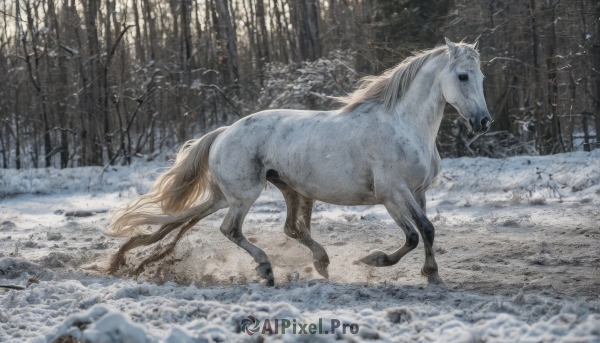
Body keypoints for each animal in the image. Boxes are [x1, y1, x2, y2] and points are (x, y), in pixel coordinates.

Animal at [106, 39, 492, 288]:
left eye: (482, 78)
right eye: (462, 76)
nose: (484, 122)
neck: (405, 125)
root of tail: (224, 132)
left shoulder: (417, 191)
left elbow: (426, 231)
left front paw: (432, 274)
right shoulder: (393, 193)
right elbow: (416, 233)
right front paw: (374, 261)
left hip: (280, 191)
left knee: (289, 229)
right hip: (245, 195)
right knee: (231, 230)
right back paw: (266, 270)